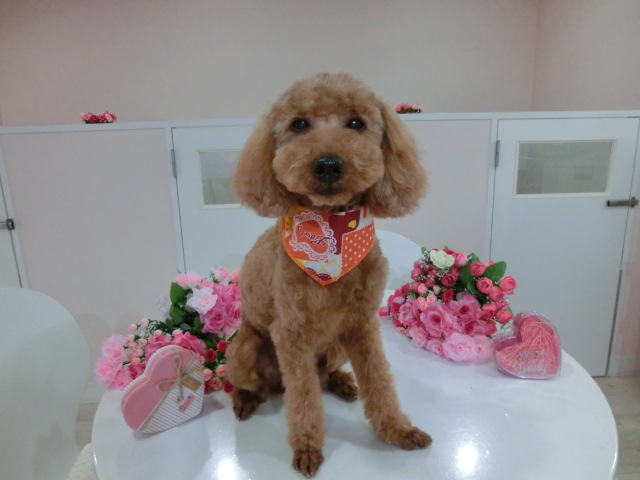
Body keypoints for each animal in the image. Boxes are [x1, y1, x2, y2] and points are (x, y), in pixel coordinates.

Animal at [226, 72, 431, 477]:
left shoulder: (362, 325)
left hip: (335, 345)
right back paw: (245, 399)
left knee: (323, 375)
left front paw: (397, 430)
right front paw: (307, 448)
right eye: (298, 125)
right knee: (257, 384)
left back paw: (341, 382)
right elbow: (304, 397)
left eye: (356, 123)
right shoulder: (290, 335)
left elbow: (379, 380)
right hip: (244, 349)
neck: (333, 231)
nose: (328, 165)